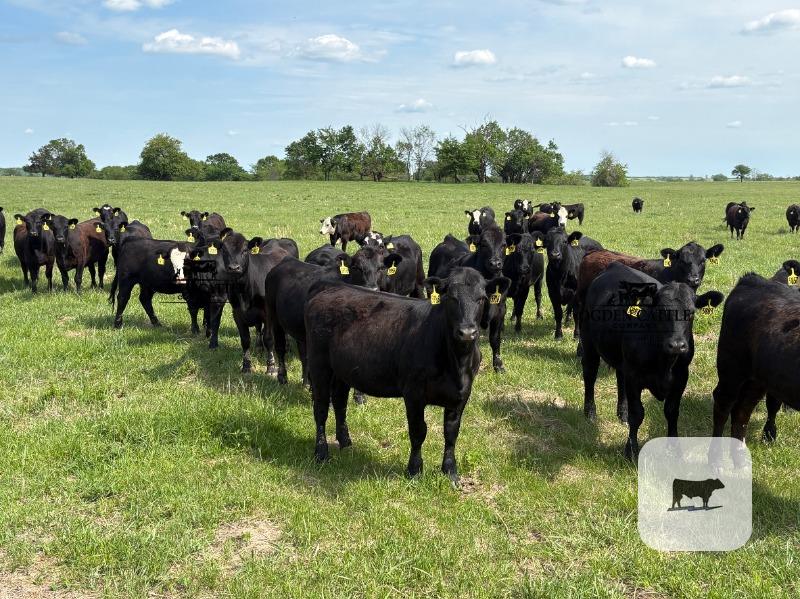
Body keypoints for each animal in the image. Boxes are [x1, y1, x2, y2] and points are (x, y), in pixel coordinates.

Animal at [304, 267, 509, 481]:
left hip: (342, 370)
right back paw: (321, 453)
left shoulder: (462, 394)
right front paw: (414, 470)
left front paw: (450, 472)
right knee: (320, 409)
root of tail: (331, 286)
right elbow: (418, 431)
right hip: (319, 364)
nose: (467, 332)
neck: (457, 365)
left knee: (339, 402)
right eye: (451, 298)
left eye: (481, 298)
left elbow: (451, 432)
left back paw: (345, 442)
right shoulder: (414, 392)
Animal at [429, 225, 510, 372]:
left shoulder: (500, 311)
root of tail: (449, 239)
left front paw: (498, 365)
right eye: (483, 244)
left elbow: (495, 339)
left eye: (504, 245)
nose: (495, 263)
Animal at [581, 262, 724, 459]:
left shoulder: (681, 377)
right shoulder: (634, 376)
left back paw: (622, 413)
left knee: (619, 379)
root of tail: (614, 265)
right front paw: (631, 450)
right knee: (589, 375)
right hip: (588, 343)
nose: (677, 345)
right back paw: (590, 413)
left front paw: (674, 448)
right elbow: (637, 414)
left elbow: (672, 411)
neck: (664, 362)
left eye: (691, 313)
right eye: (661, 312)